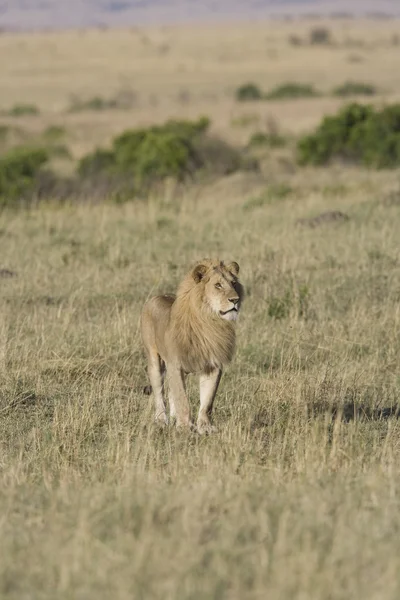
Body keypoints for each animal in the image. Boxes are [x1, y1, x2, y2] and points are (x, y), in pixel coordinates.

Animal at [142, 258, 245, 432]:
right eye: (218, 285)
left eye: (233, 283)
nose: (235, 300)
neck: (209, 320)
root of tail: (156, 297)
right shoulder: (175, 364)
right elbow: (182, 398)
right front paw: (185, 427)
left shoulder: (213, 365)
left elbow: (207, 400)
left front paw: (205, 427)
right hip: (154, 360)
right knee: (159, 393)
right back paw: (161, 420)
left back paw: (173, 418)